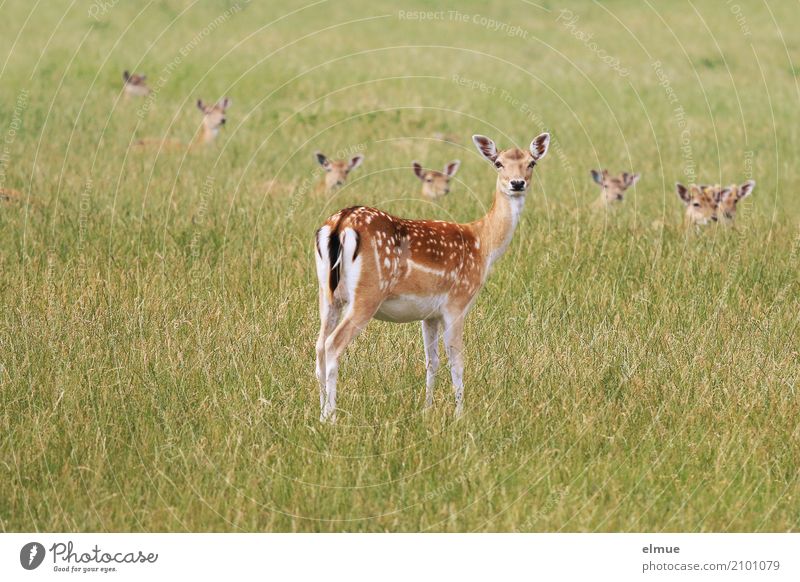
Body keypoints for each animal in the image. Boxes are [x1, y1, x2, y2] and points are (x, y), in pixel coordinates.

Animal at [312, 132, 552, 424]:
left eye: (531, 163)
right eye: (498, 163)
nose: (517, 183)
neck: (483, 245)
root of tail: (340, 224)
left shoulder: (430, 314)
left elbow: (431, 360)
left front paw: (426, 409)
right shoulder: (457, 302)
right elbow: (457, 361)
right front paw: (460, 415)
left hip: (327, 293)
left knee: (319, 346)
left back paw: (319, 415)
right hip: (367, 293)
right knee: (333, 344)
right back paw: (331, 417)